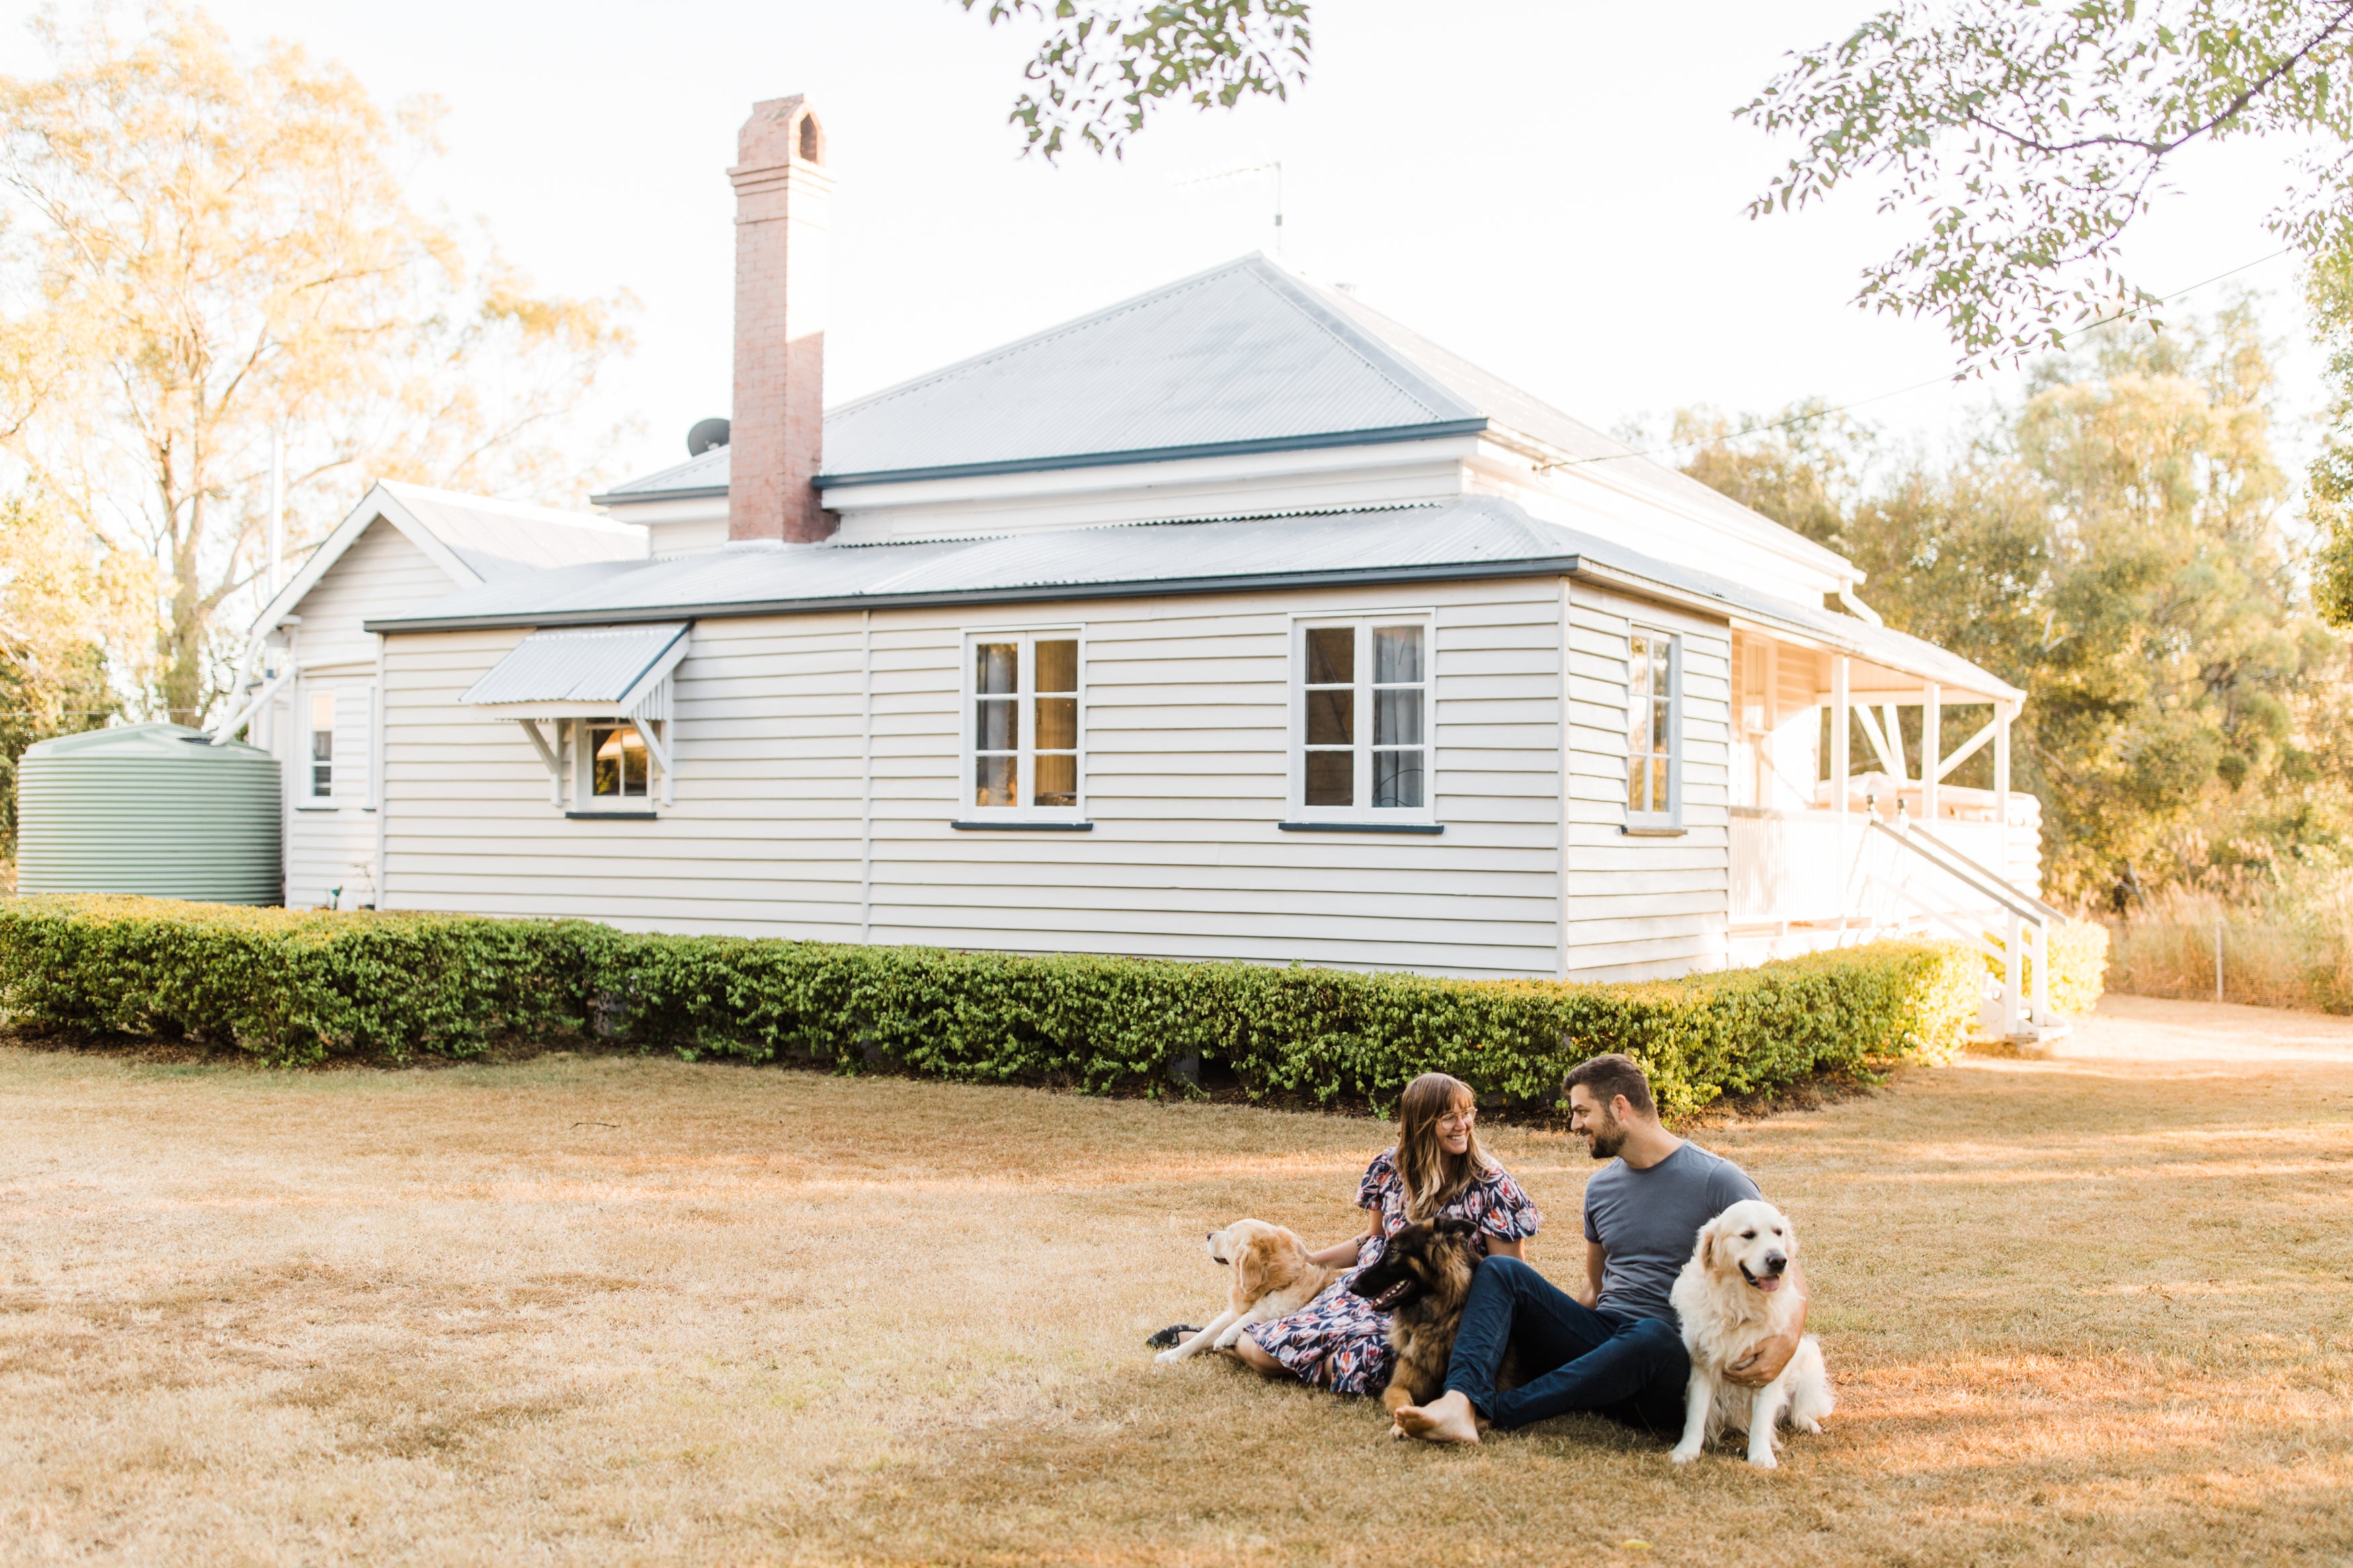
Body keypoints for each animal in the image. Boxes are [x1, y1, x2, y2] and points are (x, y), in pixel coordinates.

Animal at [1346, 1222, 1506, 1438]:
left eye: (1393, 1252)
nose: (1352, 1286)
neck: (1437, 1320)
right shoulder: (1399, 1385)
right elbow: (1402, 1403)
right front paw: (1404, 1424)